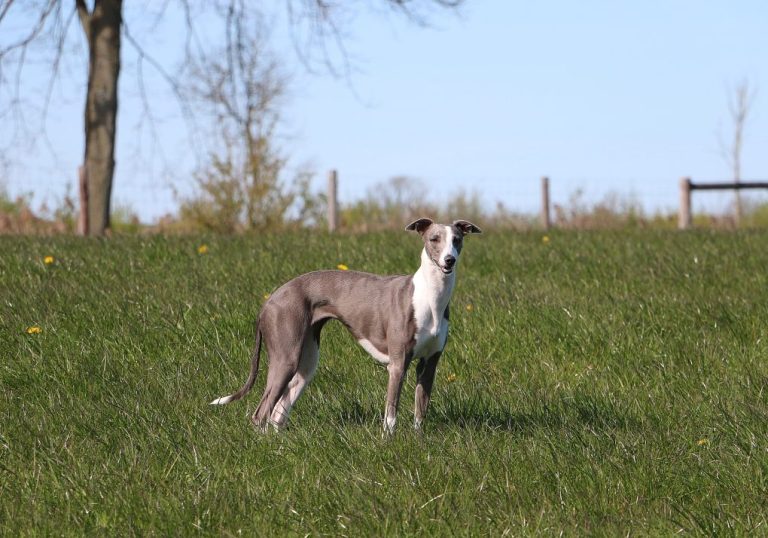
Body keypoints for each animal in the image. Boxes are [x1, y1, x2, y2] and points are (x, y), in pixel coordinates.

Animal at [210, 216, 484, 430]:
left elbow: (420, 414)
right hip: (285, 357)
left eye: (457, 239)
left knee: (278, 413)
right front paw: (388, 445)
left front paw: (417, 444)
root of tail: (270, 300)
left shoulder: (429, 365)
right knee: (261, 414)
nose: (449, 260)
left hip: (306, 363)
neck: (429, 297)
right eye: (434, 239)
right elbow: (390, 416)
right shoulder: (397, 364)